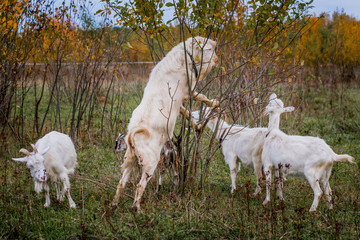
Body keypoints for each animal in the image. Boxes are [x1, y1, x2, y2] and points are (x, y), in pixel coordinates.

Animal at [111, 36, 219, 211]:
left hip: (129, 159)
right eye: (209, 49)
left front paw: (197, 125)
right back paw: (137, 209)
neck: (185, 57)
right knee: (140, 185)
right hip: (150, 163)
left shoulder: (180, 100)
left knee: (121, 183)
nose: (217, 60)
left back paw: (114, 205)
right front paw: (214, 103)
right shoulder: (189, 91)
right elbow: (201, 97)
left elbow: (186, 112)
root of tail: (132, 133)